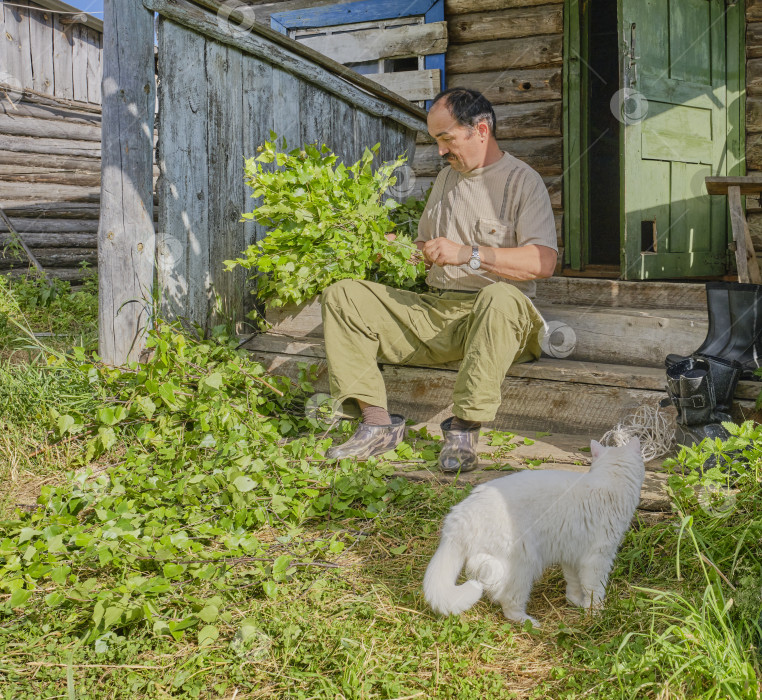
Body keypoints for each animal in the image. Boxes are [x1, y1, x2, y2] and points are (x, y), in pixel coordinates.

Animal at [422, 440, 640, 628]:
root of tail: (459, 516)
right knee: (508, 603)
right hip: (524, 564)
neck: (610, 479)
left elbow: (574, 584)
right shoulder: (598, 558)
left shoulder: (571, 554)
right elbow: (594, 589)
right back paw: (530, 622)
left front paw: (576, 602)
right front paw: (595, 613)